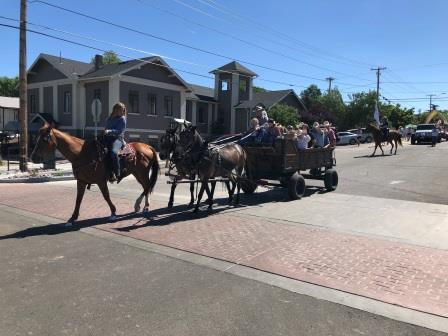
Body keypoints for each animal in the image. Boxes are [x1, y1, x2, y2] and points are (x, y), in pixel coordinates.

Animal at [30, 122, 159, 227]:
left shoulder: (100, 181)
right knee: (146, 187)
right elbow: (78, 199)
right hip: (137, 173)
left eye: (44, 139)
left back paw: (142, 206)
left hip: (142, 173)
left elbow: (106, 196)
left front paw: (113, 212)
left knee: (147, 186)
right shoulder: (81, 181)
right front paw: (72, 218)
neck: (81, 154)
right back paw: (142, 206)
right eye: (36, 137)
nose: (33, 157)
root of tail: (148, 146)